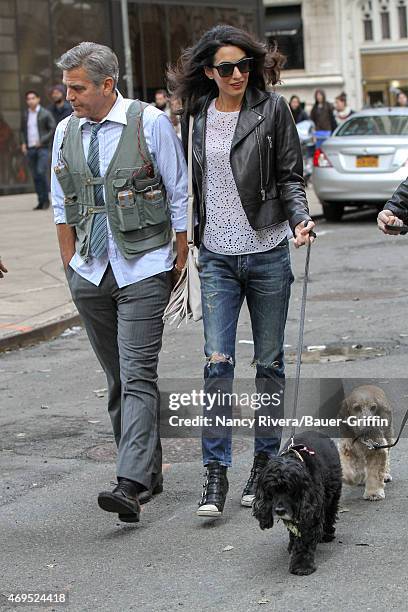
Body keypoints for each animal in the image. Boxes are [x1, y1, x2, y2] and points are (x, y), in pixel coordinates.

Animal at [253, 430, 342, 572]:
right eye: (272, 490)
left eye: (290, 490)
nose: (279, 510)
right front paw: (292, 545)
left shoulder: (311, 508)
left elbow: (305, 539)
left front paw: (302, 565)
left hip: (333, 489)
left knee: (330, 512)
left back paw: (327, 533)